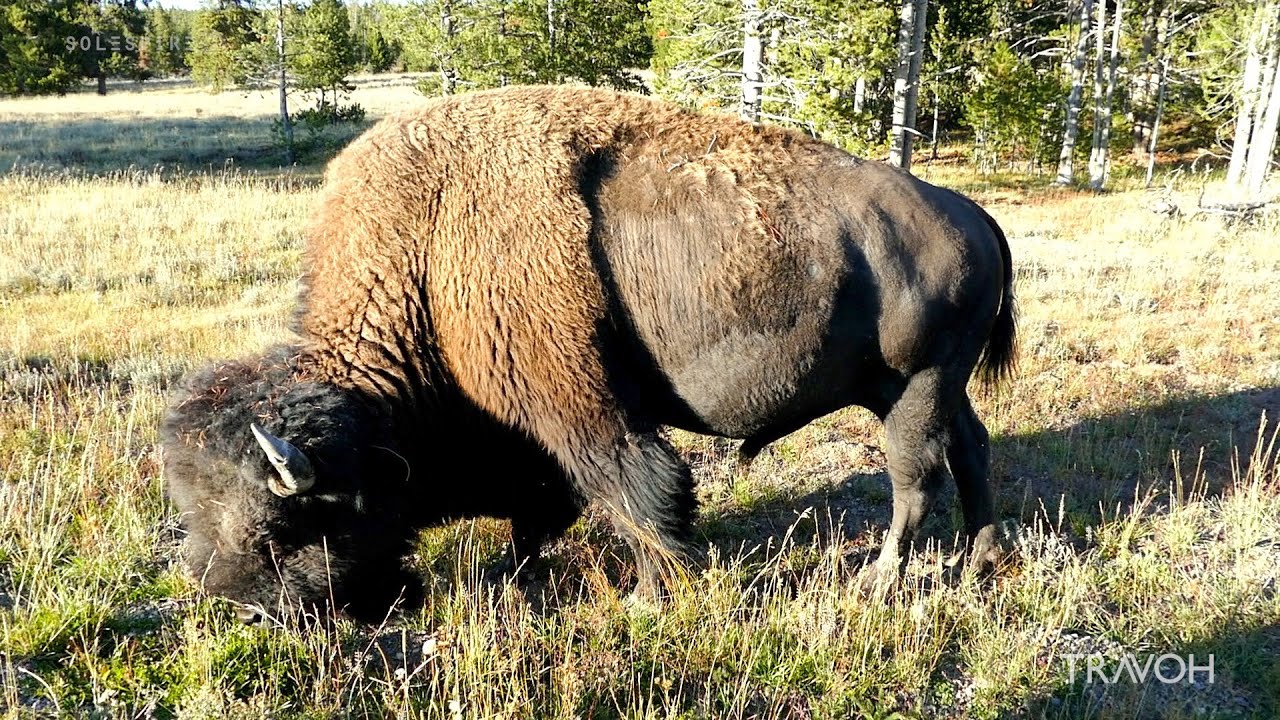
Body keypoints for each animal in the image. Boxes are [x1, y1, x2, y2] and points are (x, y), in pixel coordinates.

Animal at [160, 85, 1016, 624]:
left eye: (284, 526)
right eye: (191, 511)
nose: (244, 611)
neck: (426, 250)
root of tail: (974, 216)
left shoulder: (579, 407)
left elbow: (638, 491)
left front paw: (654, 593)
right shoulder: (528, 441)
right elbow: (543, 510)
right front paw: (524, 578)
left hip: (916, 385)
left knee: (916, 477)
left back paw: (883, 578)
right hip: (933, 386)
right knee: (971, 452)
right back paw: (981, 561)